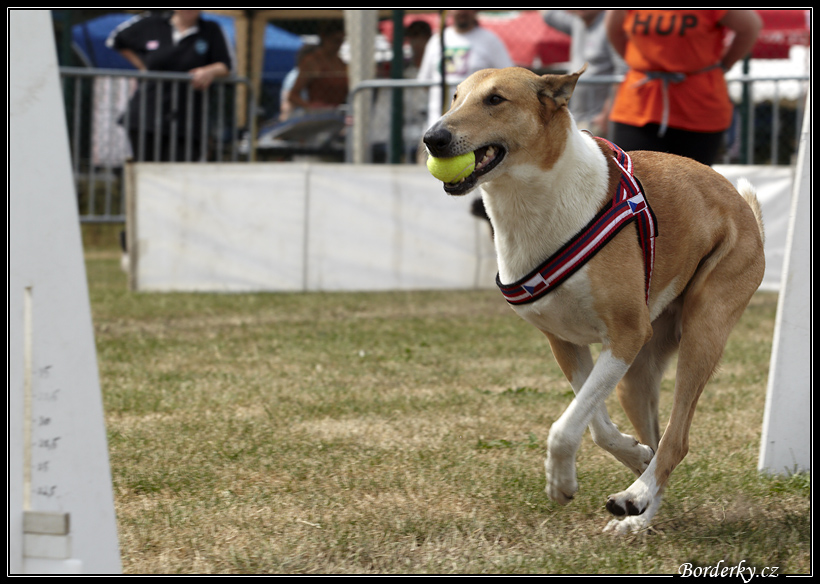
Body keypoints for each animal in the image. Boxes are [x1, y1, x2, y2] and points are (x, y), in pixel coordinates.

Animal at [423, 66, 765, 534]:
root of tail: (745, 209)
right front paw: (630, 453)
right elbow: (593, 423)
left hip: (703, 332)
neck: (534, 202)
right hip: (637, 376)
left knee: (677, 439)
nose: (432, 138)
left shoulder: (625, 335)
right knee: (660, 439)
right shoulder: (568, 342)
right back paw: (637, 514)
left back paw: (636, 496)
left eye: (495, 99)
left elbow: (565, 427)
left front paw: (560, 483)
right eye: (455, 96)